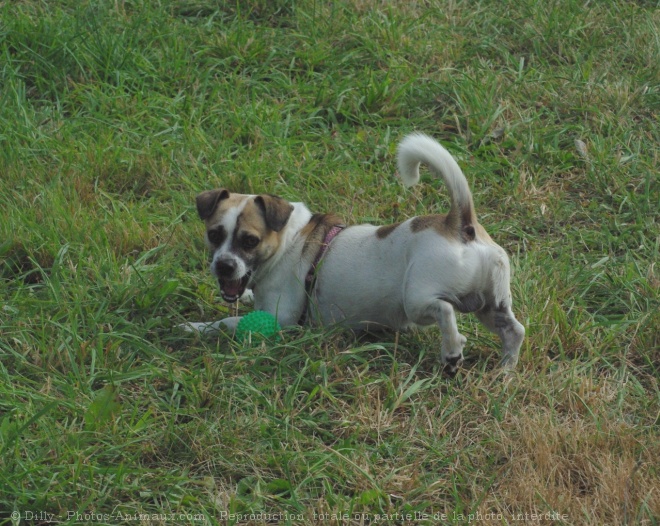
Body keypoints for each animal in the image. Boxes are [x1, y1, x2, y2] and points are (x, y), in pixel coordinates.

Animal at [183, 134, 524, 374]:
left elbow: (228, 323)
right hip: (490, 304)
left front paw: (195, 328)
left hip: (415, 299)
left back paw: (452, 350)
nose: (224, 266)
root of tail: (458, 223)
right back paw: (505, 371)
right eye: (214, 235)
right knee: (514, 330)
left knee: (445, 310)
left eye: (250, 241)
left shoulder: (281, 319)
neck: (288, 241)